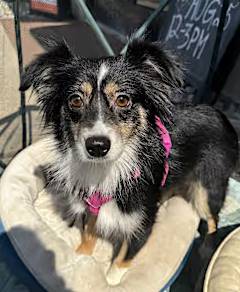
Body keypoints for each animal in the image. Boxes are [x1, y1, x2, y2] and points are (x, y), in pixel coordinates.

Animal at [19, 39, 239, 266]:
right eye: (75, 100)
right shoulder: (92, 206)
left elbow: (121, 262)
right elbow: (88, 233)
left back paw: (206, 248)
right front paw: (81, 256)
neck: (108, 168)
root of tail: (223, 117)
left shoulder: (141, 224)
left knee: (213, 219)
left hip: (208, 187)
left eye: (123, 100)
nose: (97, 146)